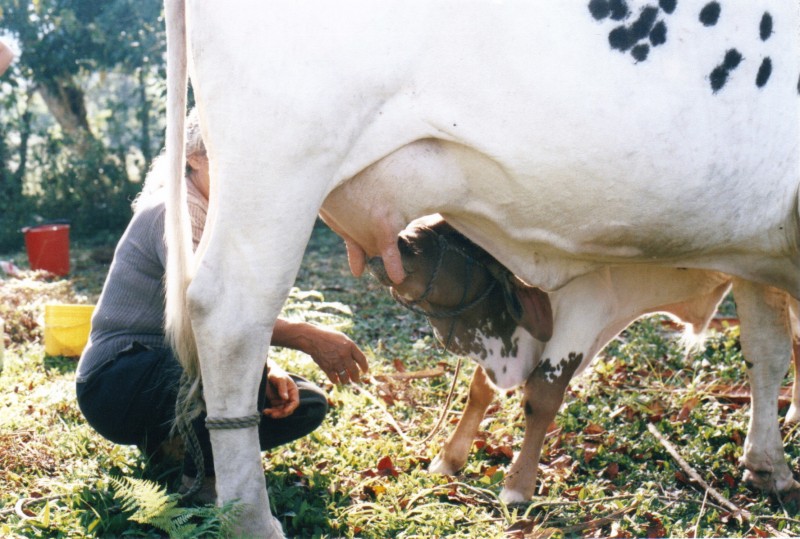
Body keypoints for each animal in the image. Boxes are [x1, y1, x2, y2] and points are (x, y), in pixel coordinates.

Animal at [374, 216, 800, 506]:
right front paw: (448, 458)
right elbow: (479, 389)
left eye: (454, 240)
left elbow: (541, 396)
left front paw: (517, 486)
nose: (390, 247)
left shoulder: (583, 312)